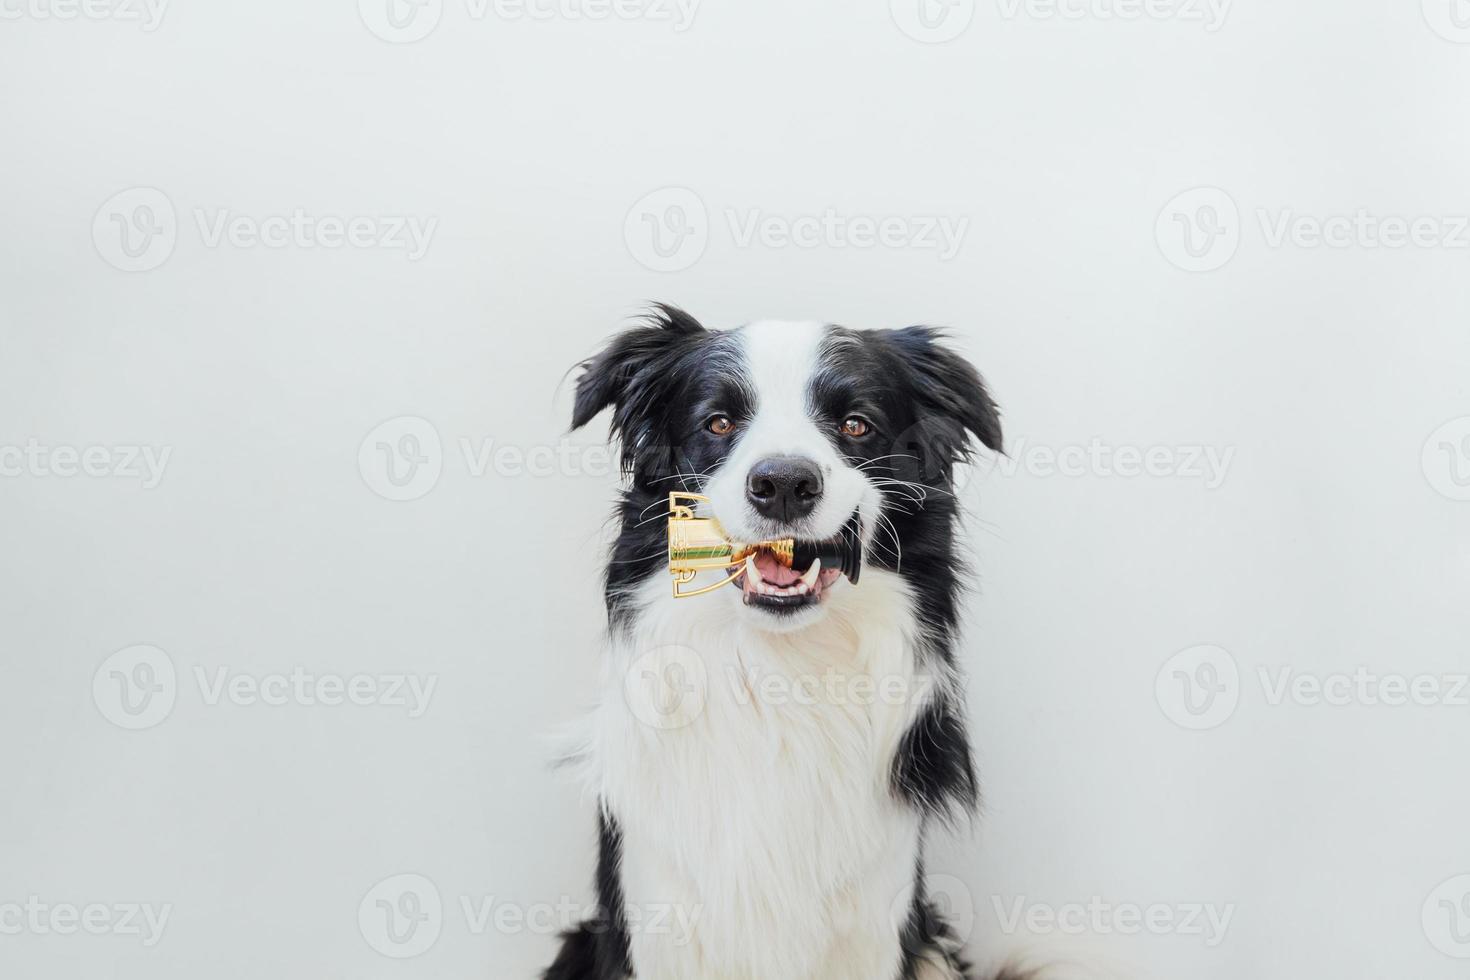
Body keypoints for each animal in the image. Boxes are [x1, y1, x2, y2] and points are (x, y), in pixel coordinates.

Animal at [552, 307, 1023, 980]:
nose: (782, 483)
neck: (778, 676)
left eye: (856, 425)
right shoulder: (660, 916)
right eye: (718, 423)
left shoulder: (875, 923)